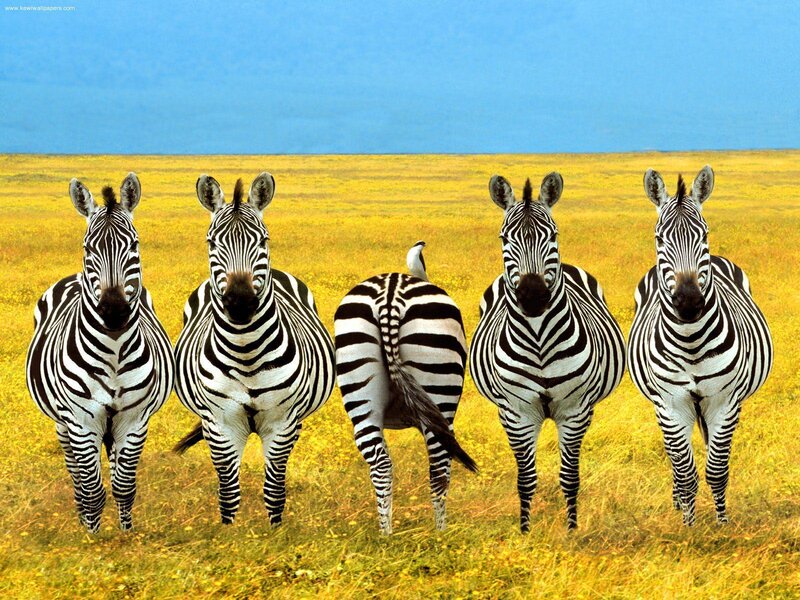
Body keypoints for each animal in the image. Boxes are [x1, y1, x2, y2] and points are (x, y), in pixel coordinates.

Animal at [26, 173, 174, 533]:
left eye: (134, 245)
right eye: (88, 248)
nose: (114, 310)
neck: (114, 352)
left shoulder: (134, 419)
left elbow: (124, 484)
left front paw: (126, 535)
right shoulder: (81, 420)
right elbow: (92, 488)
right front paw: (91, 537)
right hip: (63, 424)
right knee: (77, 476)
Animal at [172, 173, 335, 526]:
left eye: (263, 240)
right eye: (211, 243)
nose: (241, 302)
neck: (246, 353)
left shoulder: (282, 422)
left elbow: (274, 488)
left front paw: (275, 532)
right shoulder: (220, 423)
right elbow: (228, 491)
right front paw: (229, 533)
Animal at [334, 241, 477, 534]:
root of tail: (390, 293)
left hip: (359, 386)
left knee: (381, 465)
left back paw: (386, 535)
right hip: (440, 390)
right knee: (439, 467)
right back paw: (440, 534)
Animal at [469, 173, 625, 531]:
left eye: (553, 235)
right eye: (504, 238)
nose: (533, 295)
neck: (539, 340)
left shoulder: (575, 410)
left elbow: (569, 477)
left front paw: (571, 530)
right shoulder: (517, 413)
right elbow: (526, 479)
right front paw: (525, 531)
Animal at [628, 165, 773, 526]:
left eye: (704, 235)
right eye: (659, 239)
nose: (689, 301)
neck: (691, 340)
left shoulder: (725, 401)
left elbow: (717, 470)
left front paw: (721, 525)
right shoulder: (671, 403)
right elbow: (685, 472)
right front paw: (688, 526)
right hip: (662, 406)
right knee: (674, 458)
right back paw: (678, 503)